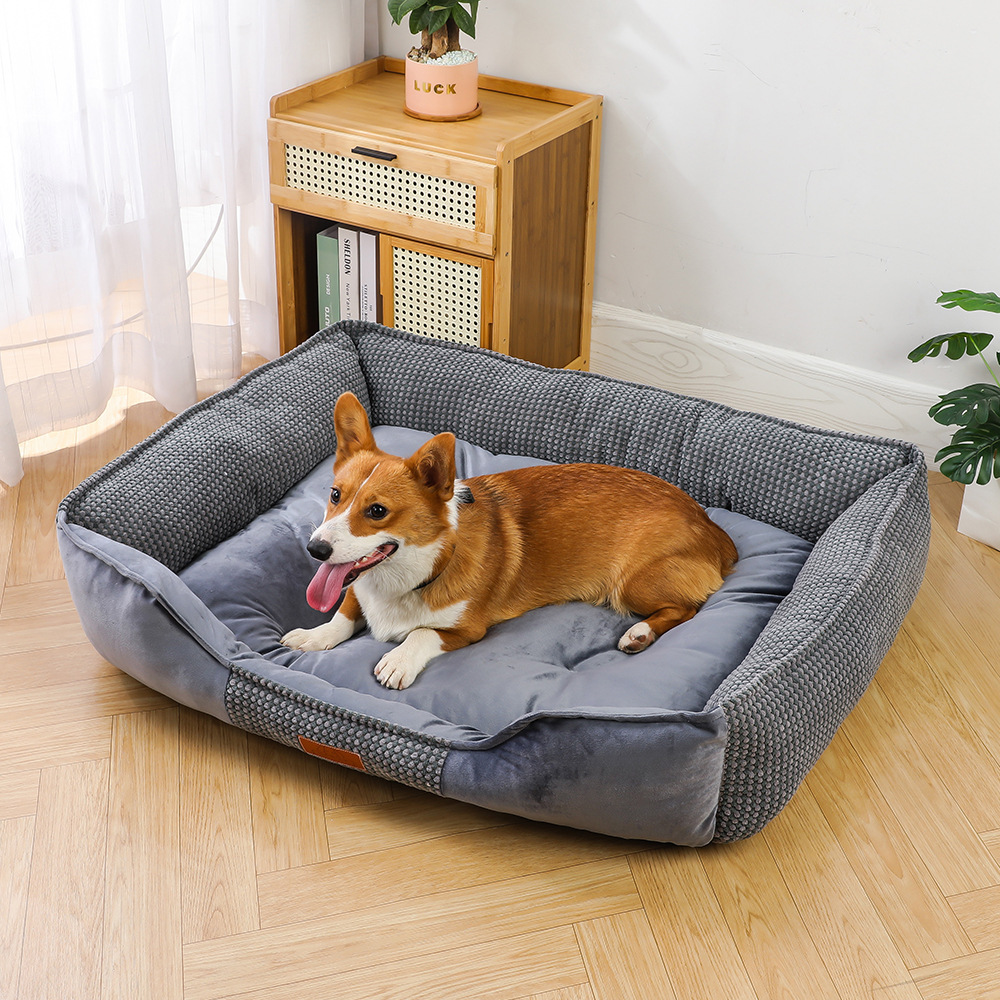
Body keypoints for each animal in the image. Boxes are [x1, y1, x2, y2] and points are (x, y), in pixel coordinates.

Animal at [281, 392, 738, 689]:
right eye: (335, 495)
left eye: (377, 511)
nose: (316, 550)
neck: (413, 572)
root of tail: (714, 529)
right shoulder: (355, 590)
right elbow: (343, 612)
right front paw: (313, 636)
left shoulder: (468, 630)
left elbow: (422, 633)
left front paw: (397, 660)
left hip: (633, 583)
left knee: (688, 608)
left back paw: (639, 633)